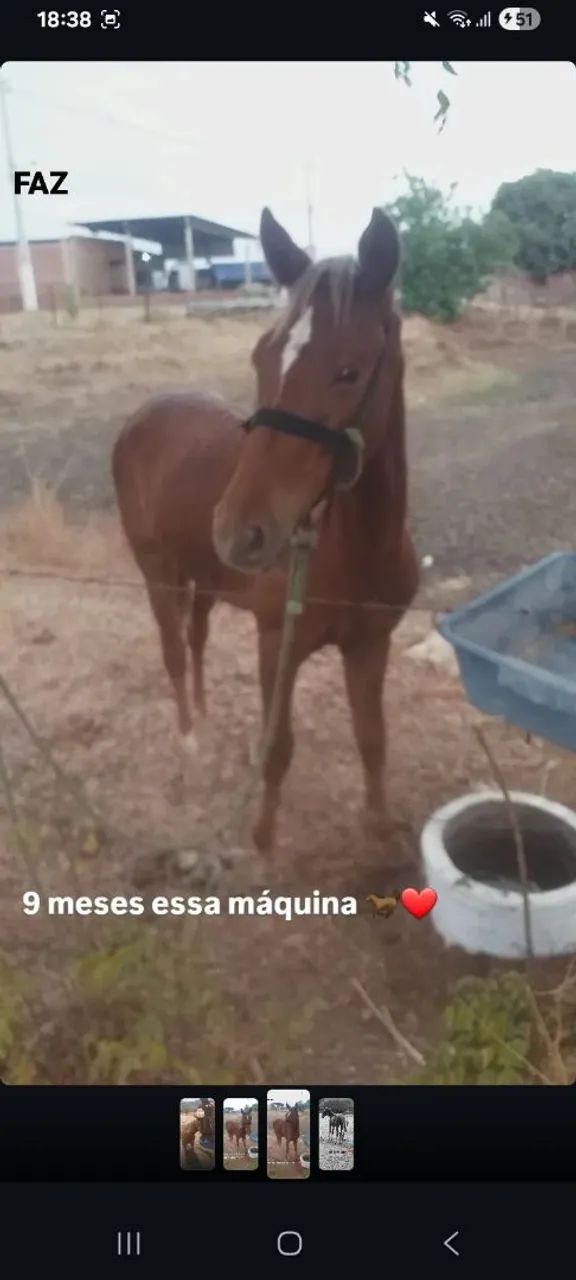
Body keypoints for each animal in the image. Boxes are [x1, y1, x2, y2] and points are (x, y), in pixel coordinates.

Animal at [112, 206, 419, 852]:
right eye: (262, 356)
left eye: (348, 371)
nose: (239, 530)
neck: (352, 552)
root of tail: (141, 415)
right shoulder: (277, 642)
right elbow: (278, 747)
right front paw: (262, 836)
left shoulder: (370, 644)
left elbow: (372, 738)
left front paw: (380, 828)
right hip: (157, 571)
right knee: (173, 652)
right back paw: (190, 743)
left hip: (204, 576)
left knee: (196, 639)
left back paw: (205, 717)